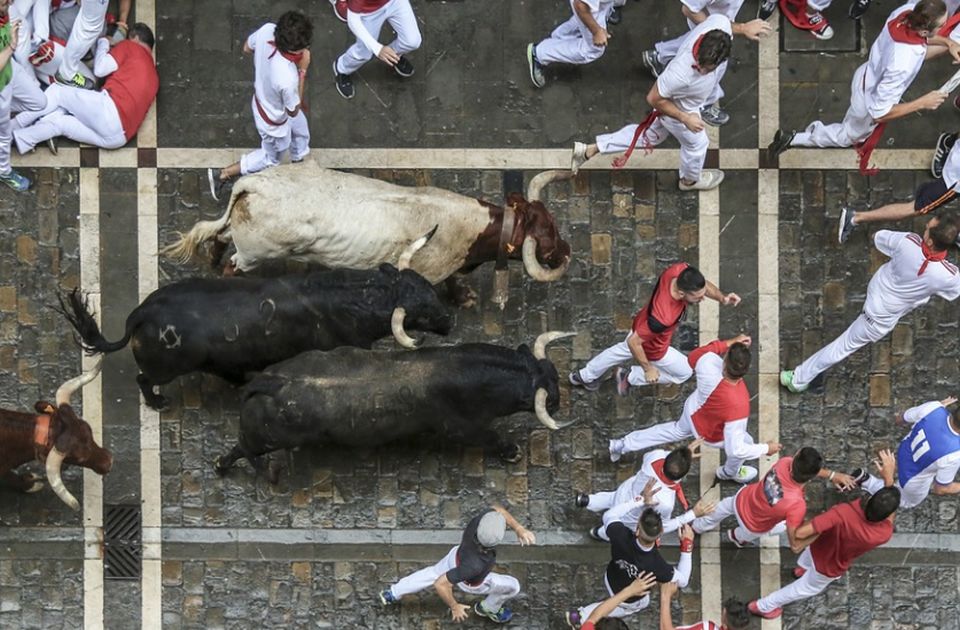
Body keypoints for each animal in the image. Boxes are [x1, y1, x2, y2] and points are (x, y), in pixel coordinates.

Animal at [59, 266, 450, 410]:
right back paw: (158, 403)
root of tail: (142, 313)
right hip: (164, 369)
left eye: (430, 289)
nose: (450, 320)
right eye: (423, 311)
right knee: (144, 379)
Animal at [161, 163, 572, 306]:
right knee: (232, 266)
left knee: (219, 238)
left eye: (553, 221)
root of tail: (253, 184)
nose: (567, 250)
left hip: (239, 235)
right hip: (254, 254)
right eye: (548, 235)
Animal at [216, 334, 576, 482]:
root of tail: (271, 382)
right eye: (549, 397)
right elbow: (491, 437)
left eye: (554, 374)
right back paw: (224, 467)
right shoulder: (463, 427)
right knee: (241, 449)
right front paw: (512, 451)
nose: (559, 403)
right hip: (266, 439)